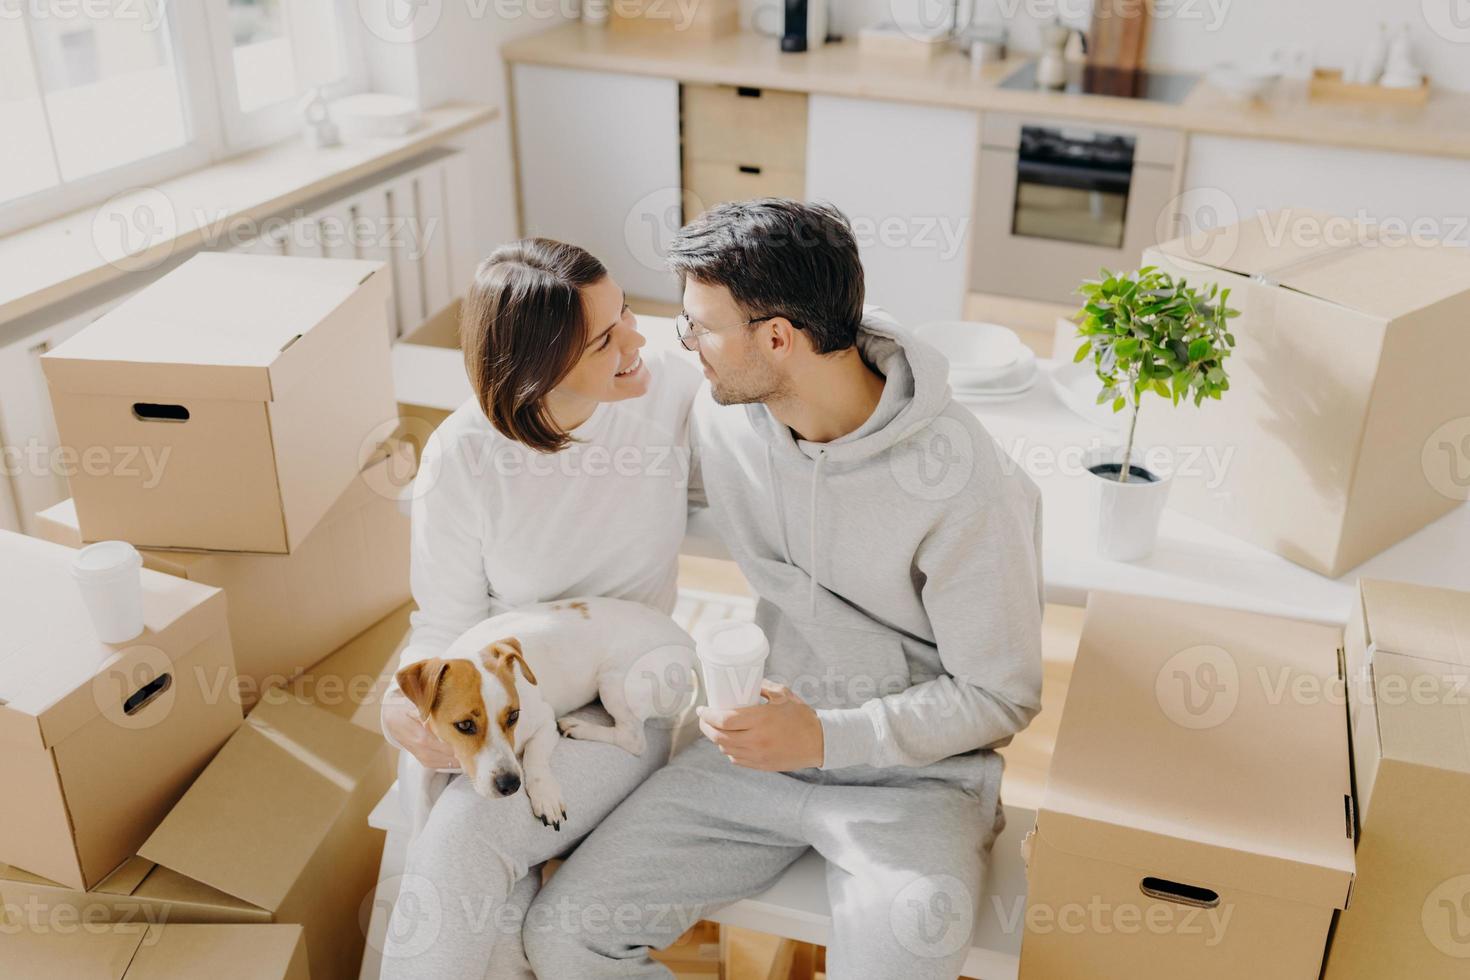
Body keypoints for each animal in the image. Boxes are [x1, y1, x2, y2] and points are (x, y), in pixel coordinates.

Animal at [393, 599, 696, 834]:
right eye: (465, 725)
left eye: (513, 716)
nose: (510, 785)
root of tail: (688, 642)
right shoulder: (428, 760)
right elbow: (420, 812)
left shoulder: (544, 724)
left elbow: (534, 757)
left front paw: (545, 796)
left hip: (615, 681)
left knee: (632, 738)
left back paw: (579, 726)